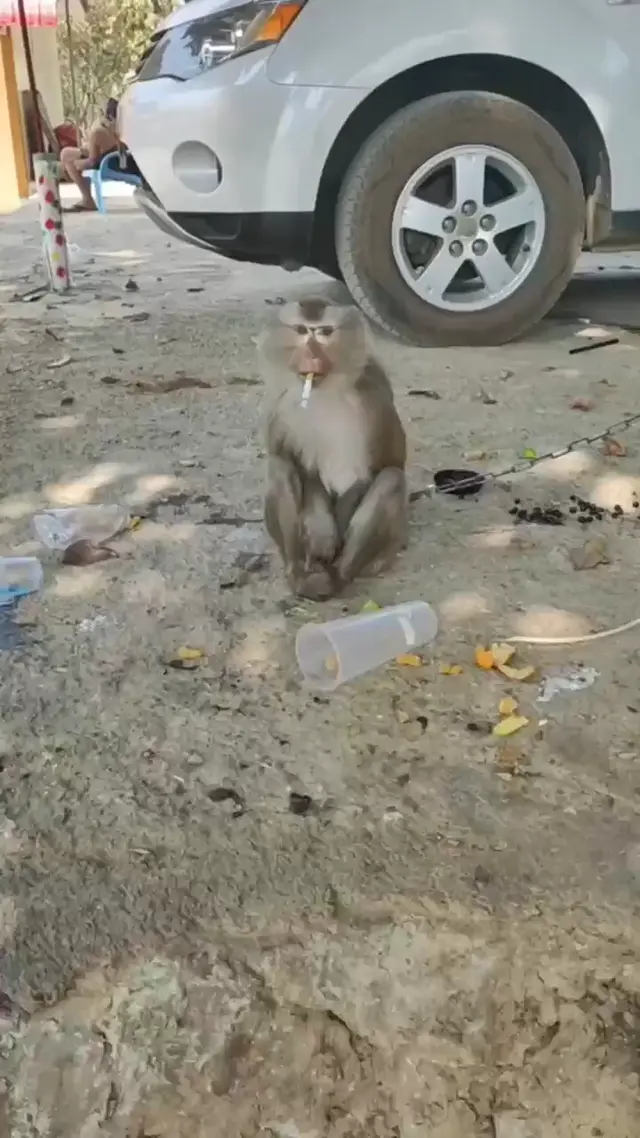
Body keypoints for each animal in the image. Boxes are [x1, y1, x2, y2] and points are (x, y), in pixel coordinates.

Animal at [259, 296, 408, 600]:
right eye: (302, 331)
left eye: (325, 333)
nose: (312, 353)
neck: (324, 390)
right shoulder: (281, 404)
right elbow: (295, 461)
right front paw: (322, 534)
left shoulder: (375, 392)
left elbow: (386, 464)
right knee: (278, 465)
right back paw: (298, 573)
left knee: (392, 478)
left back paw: (341, 573)